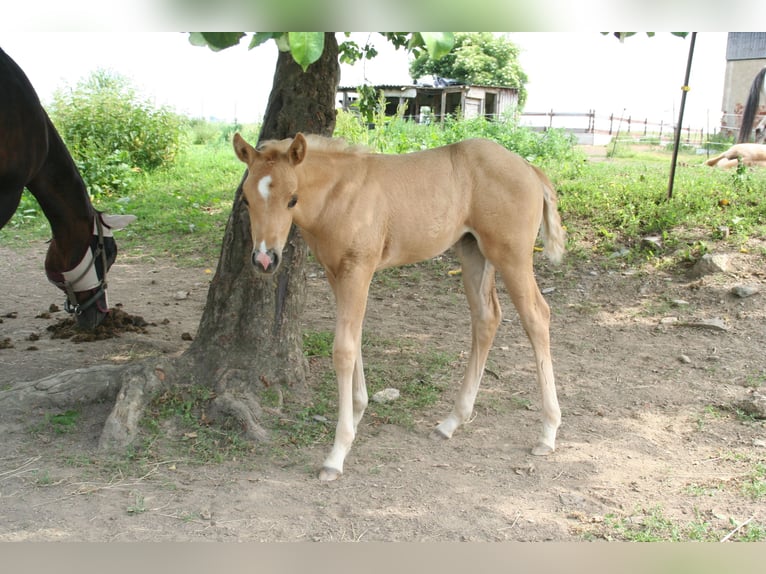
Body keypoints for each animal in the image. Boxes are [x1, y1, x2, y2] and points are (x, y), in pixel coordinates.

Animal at [233, 132, 566, 481]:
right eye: (246, 200)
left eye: (292, 199)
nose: (265, 259)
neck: (338, 195)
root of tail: (530, 169)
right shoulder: (336, 274)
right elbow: (354, 340)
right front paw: (357, 413)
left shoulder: (358, 270)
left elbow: (343, 350)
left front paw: (337, 452)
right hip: (473, 250)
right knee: (487, 318)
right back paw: (451, 422)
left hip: (511, 255)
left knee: (536, 316)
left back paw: (547, 432)